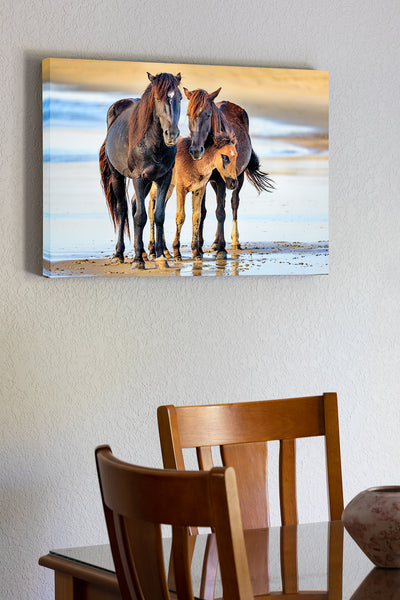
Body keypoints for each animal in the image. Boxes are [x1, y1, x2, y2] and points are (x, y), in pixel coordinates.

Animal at [99, 71, 182, 268]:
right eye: (158, 98)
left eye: (180, 98)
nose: (172, 134)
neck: (153, 142)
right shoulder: (138, 177)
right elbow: (140, 216)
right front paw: (137, 261)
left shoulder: (163, 177)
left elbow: (158, 215)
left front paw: (160, 257)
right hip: (118, 176)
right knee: (123, 209)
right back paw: (120, 254)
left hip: (147, 181)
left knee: (135, 203)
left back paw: (144, 253)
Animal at [148, 131, 239, 260]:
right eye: (225, 157)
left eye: (235, 156)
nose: (233, 183)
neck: (194, 163)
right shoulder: (181, 189)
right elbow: (180, 217)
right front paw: (177, 251)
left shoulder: (198, 189)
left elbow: (196, 217)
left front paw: (196, 252)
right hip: (157, 185)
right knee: (151, 210)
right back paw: (152, 251)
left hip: (169, 187)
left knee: (160, 210)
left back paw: (165, 251)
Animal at [184, 86, 276, 258]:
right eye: (188, 114)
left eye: (207, 114)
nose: (196, 150)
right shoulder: (203, 181)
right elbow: (202, 211)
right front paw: (199, 247)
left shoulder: (223, 180)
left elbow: (220, 211)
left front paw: (221, 249)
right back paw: (214, 242)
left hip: (238, 178)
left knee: (233, 203)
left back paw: (234, 241)